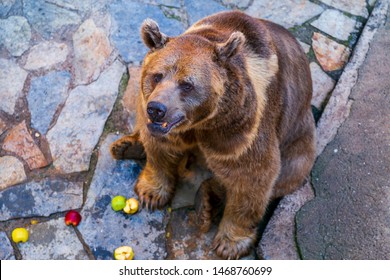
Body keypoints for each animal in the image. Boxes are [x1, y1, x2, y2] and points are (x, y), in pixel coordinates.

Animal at [110, 10, 316, 260]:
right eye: (157, 76)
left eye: (186, 84)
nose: (157, 109)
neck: (202, 124)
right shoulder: (167, 126)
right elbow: (161, 149)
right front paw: (151, 193)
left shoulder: (242, 128)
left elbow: (251, 176)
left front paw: (230, 243)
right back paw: (126, 146)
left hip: (299, 142)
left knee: (286, 175)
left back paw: (205, 204)